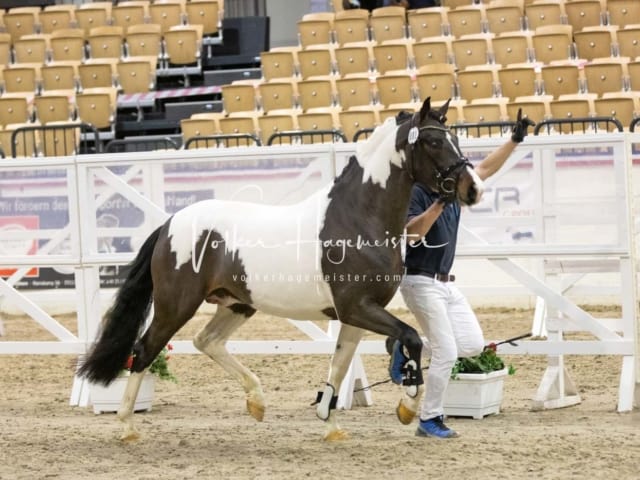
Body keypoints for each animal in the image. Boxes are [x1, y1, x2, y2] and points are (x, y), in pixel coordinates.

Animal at [77, 97, 482, 442]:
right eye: (433, 141)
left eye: (455, 137)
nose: (472, 188)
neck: (357, 218)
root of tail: (170, 224)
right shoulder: (357, 308)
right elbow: (412, 338)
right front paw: (406, 406)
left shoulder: (356, 314)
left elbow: (339, 365)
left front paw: (330, 424)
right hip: (175, 306)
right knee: (144, 350)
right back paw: (127, 426)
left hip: (237, 303)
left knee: (207, 341)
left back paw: (256, 402)